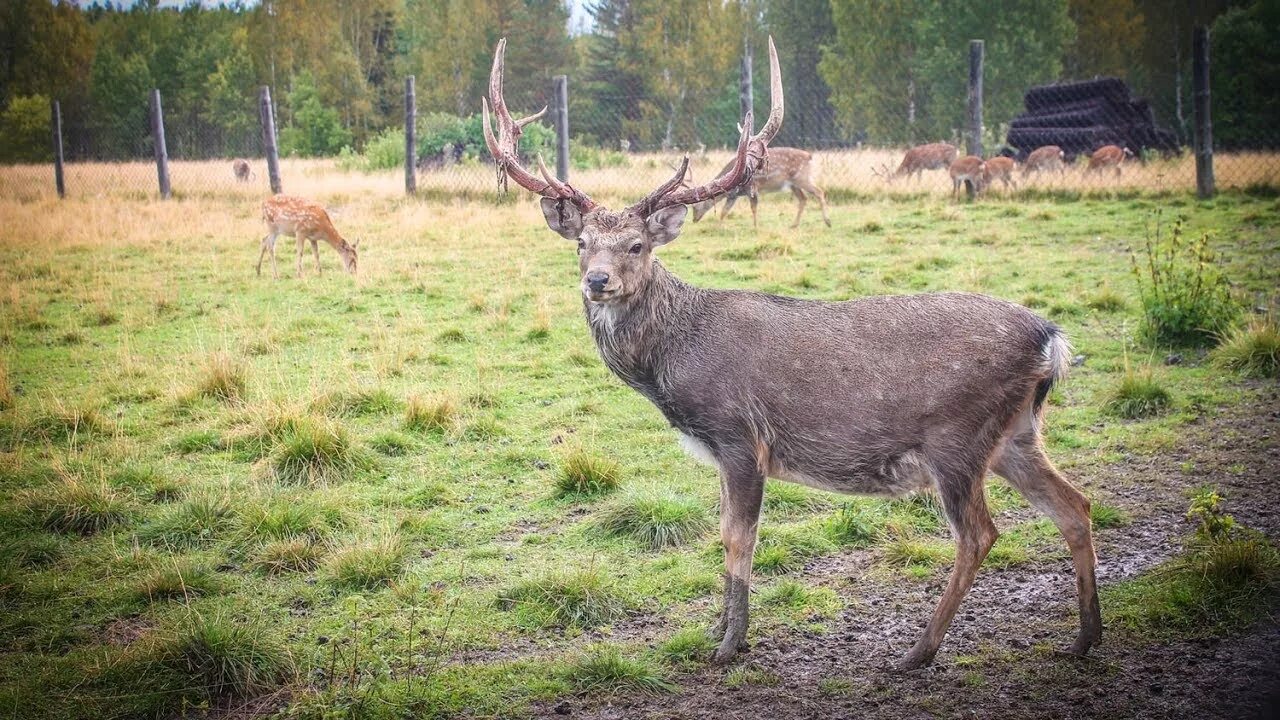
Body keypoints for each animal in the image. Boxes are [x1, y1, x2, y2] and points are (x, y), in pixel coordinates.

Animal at [691, 148, 829, 229]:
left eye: (695, 206)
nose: (694, 220)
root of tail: (809, 156)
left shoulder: (752, 188)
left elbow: (753, 208)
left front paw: (755, 227)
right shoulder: (733, 196)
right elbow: (724, 211)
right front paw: (718, 227)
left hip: (802, 178)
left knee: (819, 192)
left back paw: (828, 222)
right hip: (793, 184)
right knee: (803, 199)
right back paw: (794, 225)